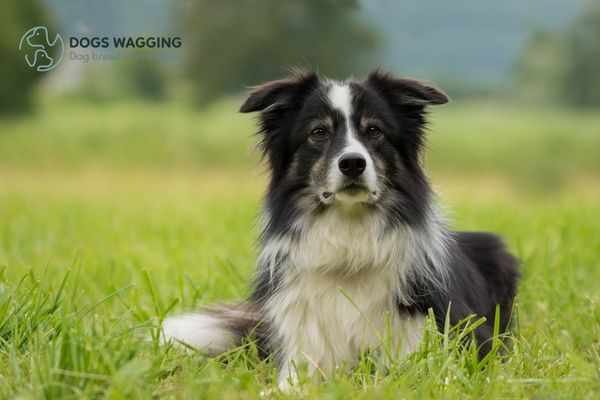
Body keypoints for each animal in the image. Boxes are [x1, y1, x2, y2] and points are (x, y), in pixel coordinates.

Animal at [162, 69, 516, 390]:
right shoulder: (304, 350)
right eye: (319, 132)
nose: (353, 163)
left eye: (374, 130)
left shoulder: (446, 339)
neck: (348, 245)